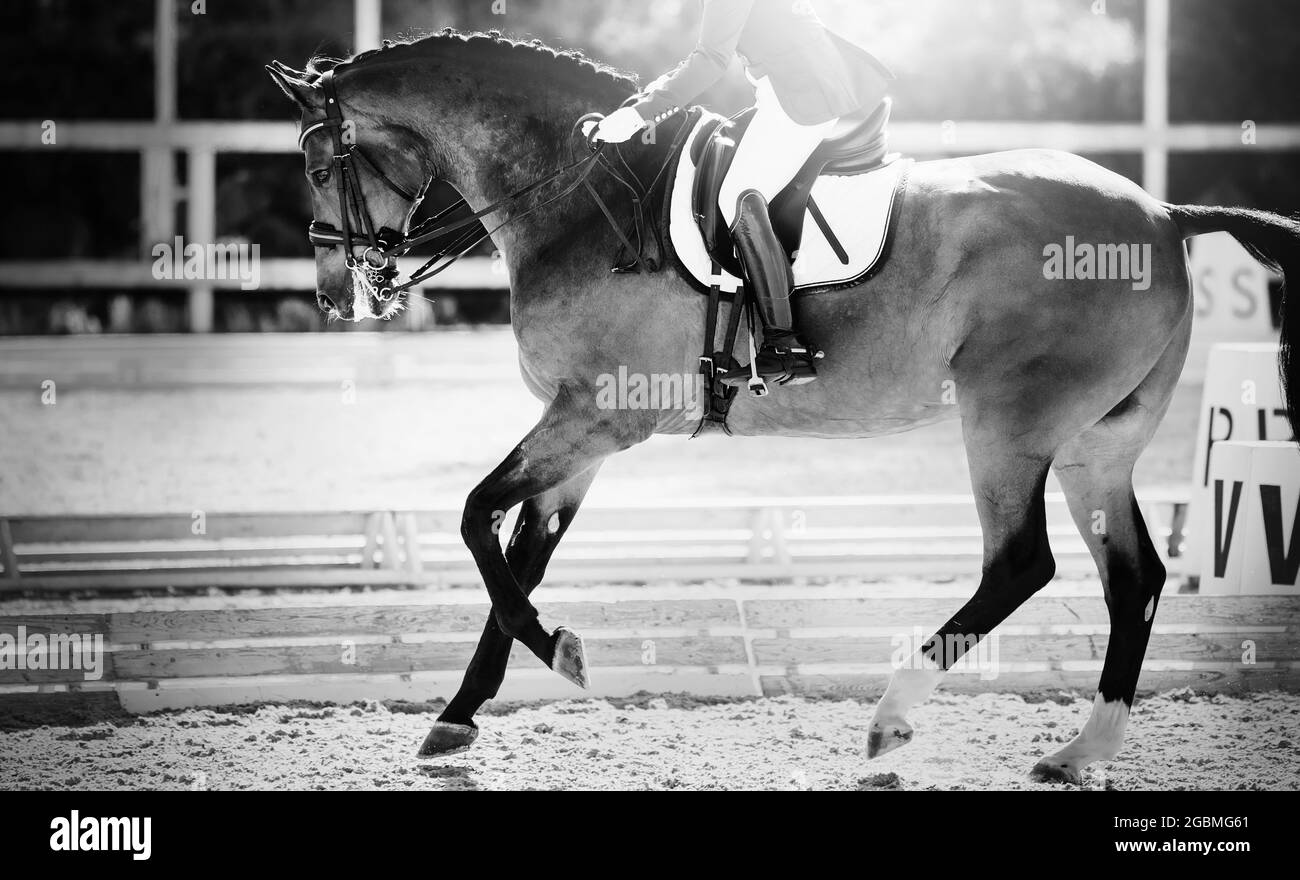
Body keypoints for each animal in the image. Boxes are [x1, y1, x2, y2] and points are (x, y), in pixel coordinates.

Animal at [266, 29, 1299, 783]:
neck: (579, 198)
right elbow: (515, 557)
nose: (336, 293)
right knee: (1135, 579)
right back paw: (1082, 752)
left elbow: (477, 519)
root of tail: (1164, 214)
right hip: (1096, 443)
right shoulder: (582, 434)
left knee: (1021, 564)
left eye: (319, 165)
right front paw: (456, 718)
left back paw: (892, 719)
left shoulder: (598, 417)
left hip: (1011, 425)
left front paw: (560, 656)